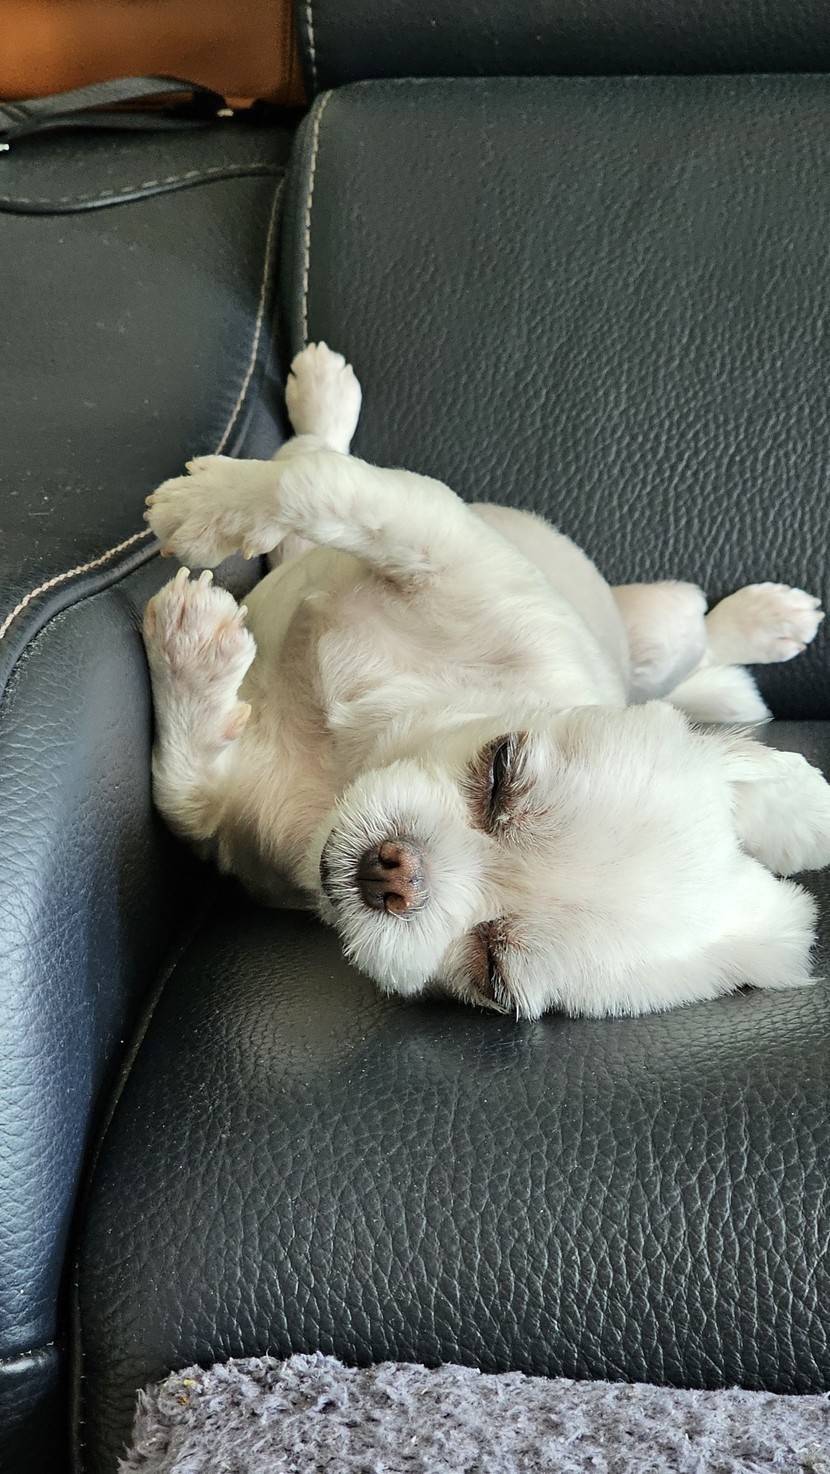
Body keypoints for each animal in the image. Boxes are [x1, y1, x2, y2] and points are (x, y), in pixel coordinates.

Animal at [143, 344, 830, 1019]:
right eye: (502, 771)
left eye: (492, 972)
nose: (395, 875)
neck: (355, 758)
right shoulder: (449, 547)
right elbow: (319, 485)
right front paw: (203, 513)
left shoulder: (231, 832)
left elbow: (181, 795)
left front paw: (190, 647)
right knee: (309, 460)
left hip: (666, 640)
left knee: (706, 644)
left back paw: (766, 623)